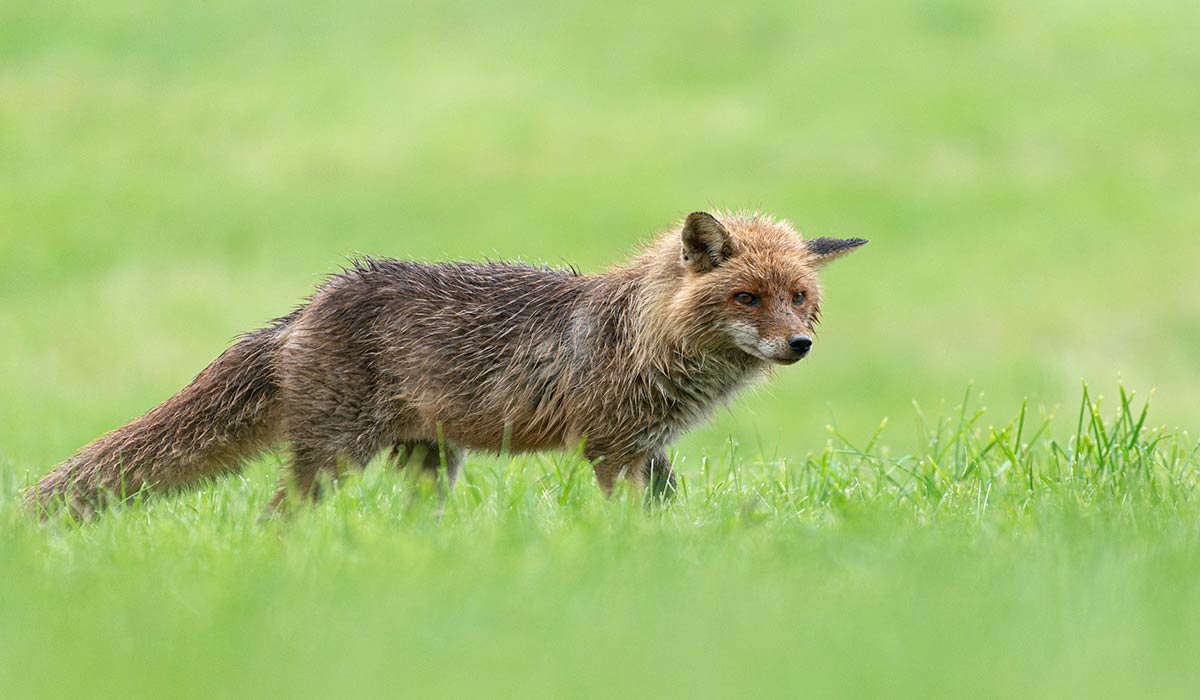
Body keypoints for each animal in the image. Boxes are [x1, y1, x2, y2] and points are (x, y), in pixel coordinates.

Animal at [26, 211, 866, 517]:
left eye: (799, 298)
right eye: (748, 297)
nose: (799, 346)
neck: (644, 337)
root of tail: (307, 306)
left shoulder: (650, 450)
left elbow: (666, 511)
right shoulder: (609, 448)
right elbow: (619, 517)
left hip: (433, 463)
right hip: (336, 458)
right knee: (277, 516)